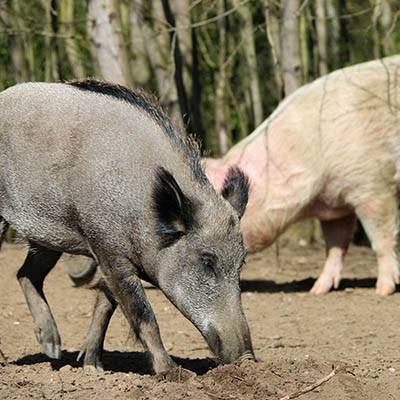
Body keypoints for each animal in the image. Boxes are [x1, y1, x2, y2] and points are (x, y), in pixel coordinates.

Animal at [205, 54, 398, 296]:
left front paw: (383, 290)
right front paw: (317, 290)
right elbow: (335, 246)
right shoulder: (336, 207)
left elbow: (381, 239)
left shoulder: (373, 186)